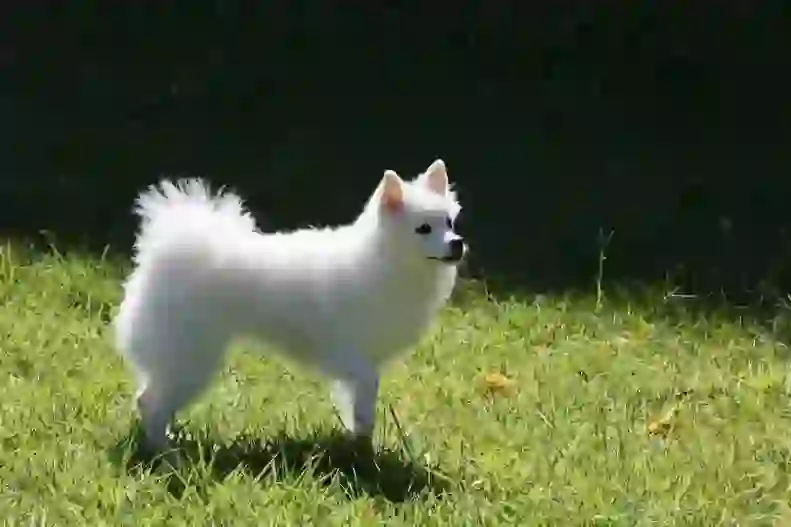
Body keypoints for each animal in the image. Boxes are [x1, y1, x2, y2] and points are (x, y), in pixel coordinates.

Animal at [114, 159, 468, 456]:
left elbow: (357, 409)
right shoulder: (358, 362)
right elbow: (365, 408)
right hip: (192, 357)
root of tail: (169, 251)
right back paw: (167, 454)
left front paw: (357, 443)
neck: (385, 262)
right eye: (423, 229)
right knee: (150, 402)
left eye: (449, 223)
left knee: (149, 400)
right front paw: (365, 452)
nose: (457, 243)